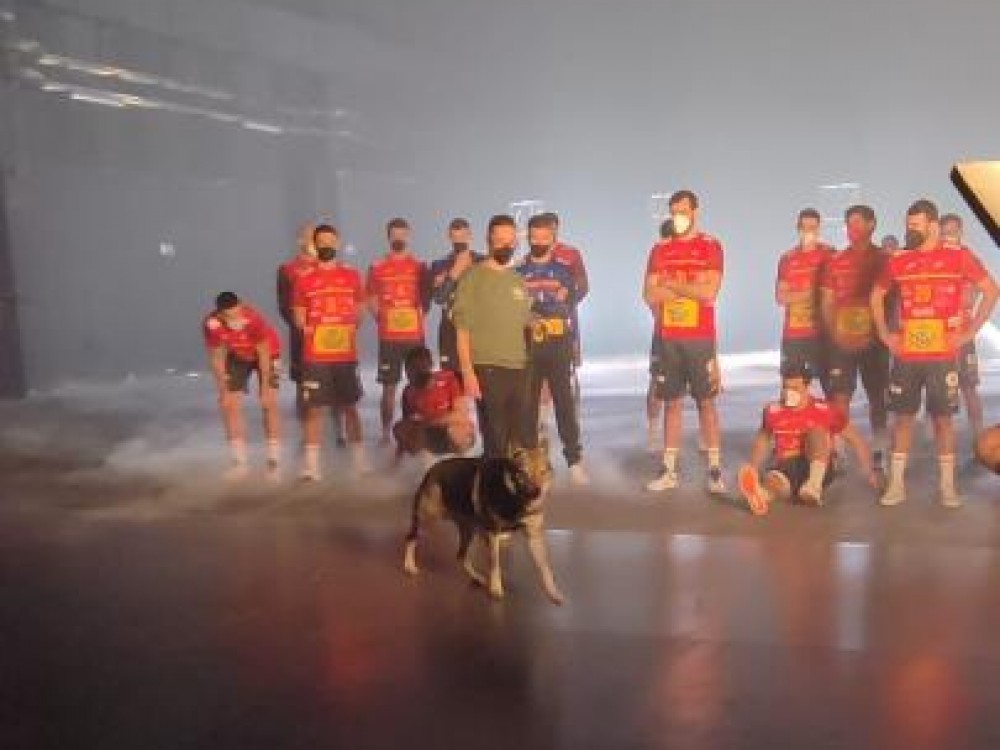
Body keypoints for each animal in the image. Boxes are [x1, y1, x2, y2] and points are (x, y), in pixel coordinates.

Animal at [402, 449, 563, 604]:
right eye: (523, 473)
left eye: (543, 472)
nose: (537, 492)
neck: (513, 499)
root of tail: (431, 470)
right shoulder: (492, 534)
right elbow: (495, 564)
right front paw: (496, 588)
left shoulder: (534, 537)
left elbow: (545, 568)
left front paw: (553, 593)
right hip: (428, 520)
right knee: (411, 538)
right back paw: (409, 566)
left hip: (470, 531)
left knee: (461, 556)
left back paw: (477, 578)